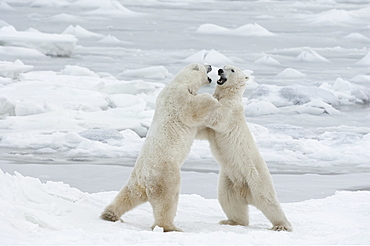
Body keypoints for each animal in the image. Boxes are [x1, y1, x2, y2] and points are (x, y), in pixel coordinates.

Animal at [99, 63, 218, 233]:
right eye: (204, 66)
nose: (210, 65)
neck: (181, 82)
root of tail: (144, 179)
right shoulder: (178, 98)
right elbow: (193, 109)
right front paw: (213, 99)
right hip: (165, 174)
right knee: (167, 200)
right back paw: (170, 227)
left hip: (136, 180)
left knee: (127, 195)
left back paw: (110, 214)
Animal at [197, 65, 292, 231]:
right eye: (224, 66)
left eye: (232, 70)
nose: (220, 70)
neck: (230, 96)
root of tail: (245, 192)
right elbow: (204, 130)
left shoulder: (231, 111)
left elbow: (218, 117)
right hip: (229, 179)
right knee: (228, 199)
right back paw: (231, 221)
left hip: (256, 177)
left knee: (268, 200)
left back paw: (282, 226)